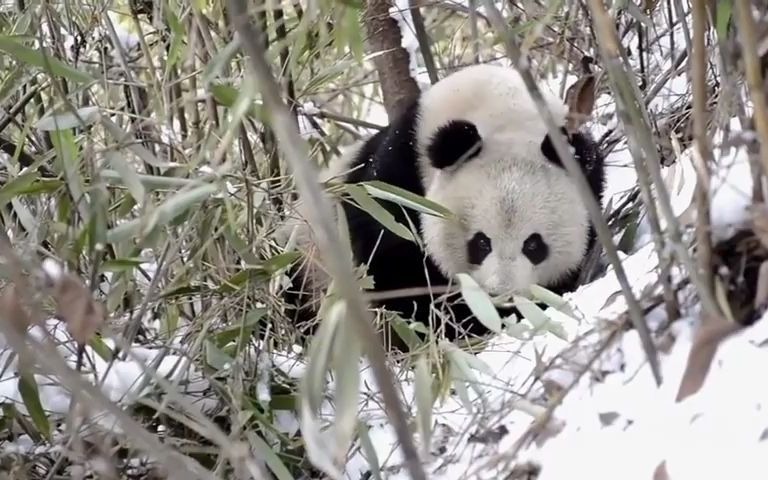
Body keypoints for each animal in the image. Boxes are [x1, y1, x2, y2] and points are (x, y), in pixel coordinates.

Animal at [276, 63, 608, 348]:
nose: (500, 297)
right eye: (480, 243)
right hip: (304, 263)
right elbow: (394, 271)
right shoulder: (397, 181)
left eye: (534, 245)